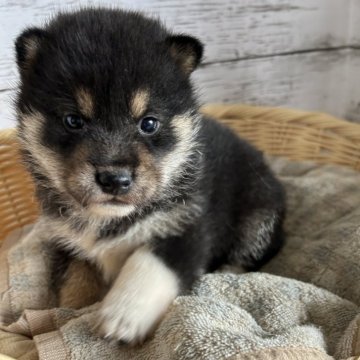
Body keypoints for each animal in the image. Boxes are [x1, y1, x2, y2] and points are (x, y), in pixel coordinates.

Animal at [14, 8, 286, 344]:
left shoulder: (186, 225)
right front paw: (69, 313)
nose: (115, 179)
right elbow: (74, 282)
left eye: (149, 123)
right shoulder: (68, 242)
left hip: (259, 217)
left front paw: (122, 315)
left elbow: (149, 263)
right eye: (73, 121)